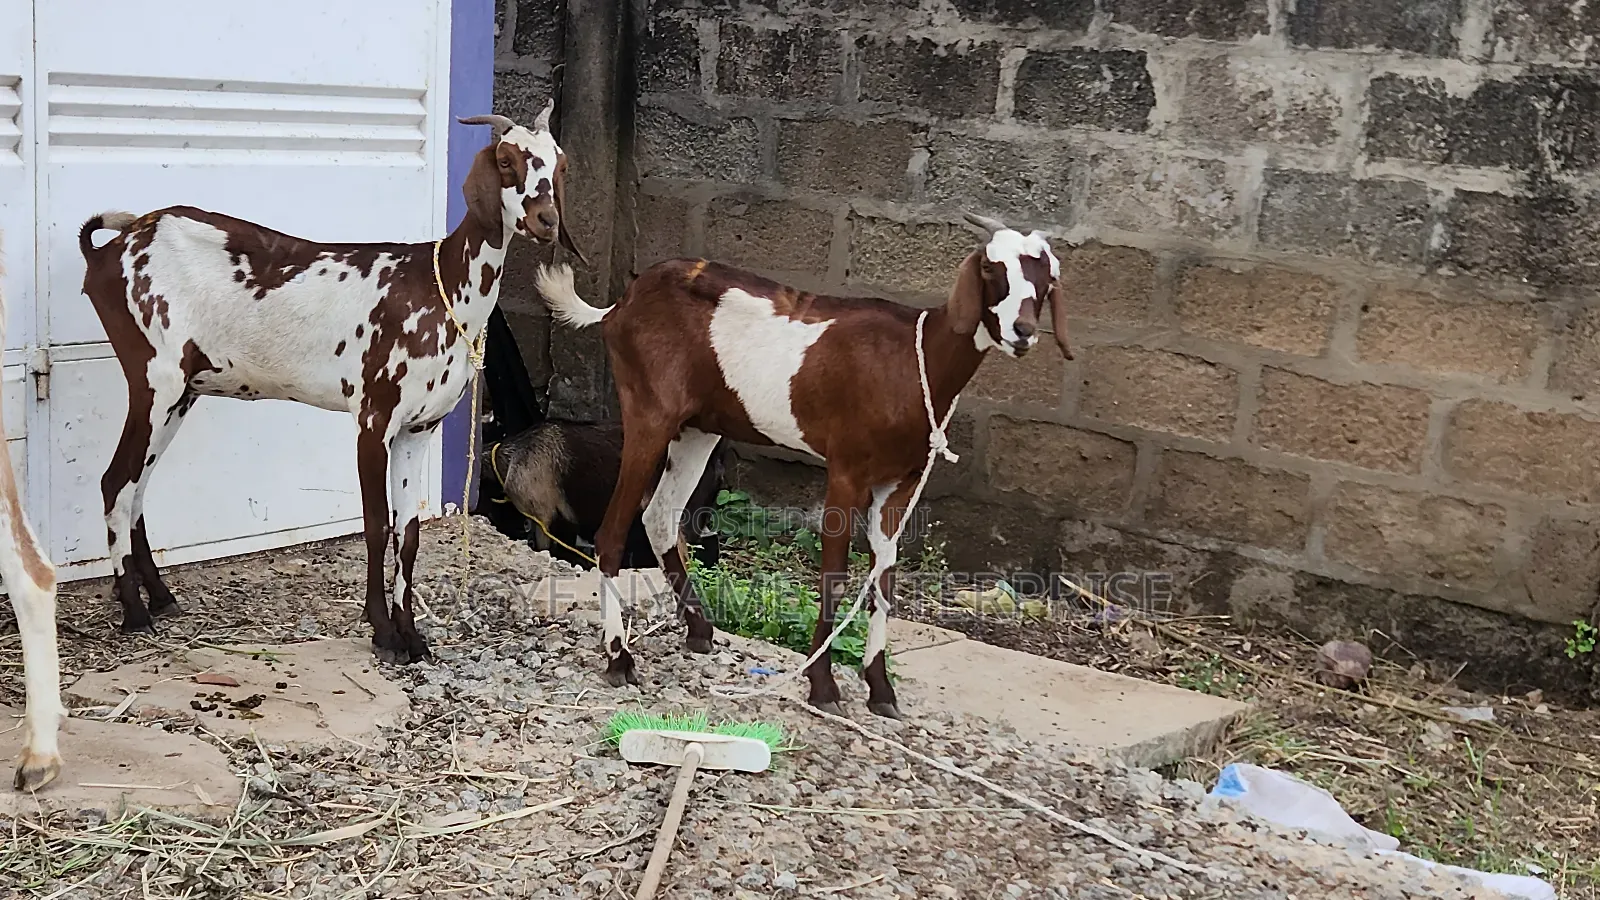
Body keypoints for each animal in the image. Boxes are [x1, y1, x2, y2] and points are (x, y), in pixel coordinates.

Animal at [75, 102, 578, 665]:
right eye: (508, 161)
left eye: (558, 164)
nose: (547, 221)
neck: (440, 284)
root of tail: (109, 250)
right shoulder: (374, 419)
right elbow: (377, 526)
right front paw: (383, 633)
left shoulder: (418, 429)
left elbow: (409, 533)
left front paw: (411, 634)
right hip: (154, 381)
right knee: (116, 482)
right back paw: (134, 613)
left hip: (181, 392)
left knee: (138, 487)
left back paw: (161, 598)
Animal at [535, 212, 1071, 718]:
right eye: (991, 267)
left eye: (1047, 277)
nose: (1022, 332)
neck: (910, 363)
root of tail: (621, 303)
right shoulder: (847, 471)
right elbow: (834, 576)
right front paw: (824, 688)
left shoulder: (900, 483)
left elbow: (883, 581)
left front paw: (881, 691)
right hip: (649, 413)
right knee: (612, 532)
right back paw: (619, 658)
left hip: (699, 428)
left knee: (660, 517)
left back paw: (699, 630)